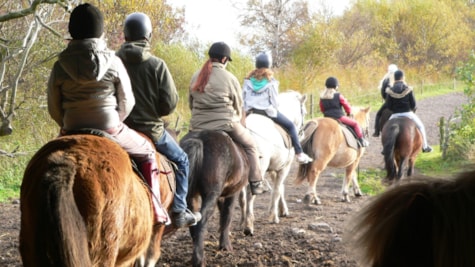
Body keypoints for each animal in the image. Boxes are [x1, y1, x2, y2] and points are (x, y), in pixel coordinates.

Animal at [179, 131, 249, 267]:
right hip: (211, 194)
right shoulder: (232, 193)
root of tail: (200, 139)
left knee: (193, 221)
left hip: (192, 196)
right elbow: (227, 215)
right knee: (202, 220)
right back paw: (199, 259)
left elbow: (223, 215)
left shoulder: (221, 196)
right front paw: (225, 246)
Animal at [238, 90, 308, 237]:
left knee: (241, 197)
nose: (302, 133)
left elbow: (279, 188)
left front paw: (282, 210)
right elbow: (277, 190)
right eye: (304, 112)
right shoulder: (284, 168)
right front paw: (274, 216)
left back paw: (242, 222)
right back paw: (248, 225)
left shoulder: (274, 168)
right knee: (250, 194)